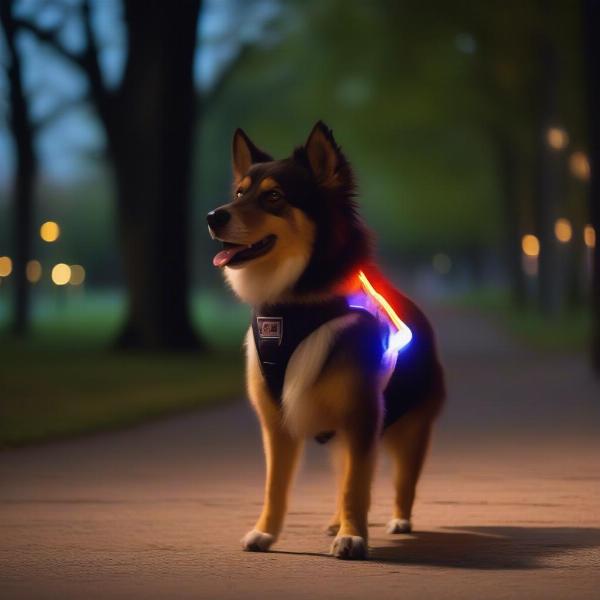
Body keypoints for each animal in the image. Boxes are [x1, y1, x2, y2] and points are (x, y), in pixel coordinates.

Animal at [207, 120, 446, 556]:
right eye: (239, 192)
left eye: (273, 196)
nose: (213, 217)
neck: (294, 303)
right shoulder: (276, 422)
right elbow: (277, 486)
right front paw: (265, 532)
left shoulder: (363, 413)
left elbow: (358, 485)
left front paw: (354, 536)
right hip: (341, 435)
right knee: (345, 474)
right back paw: (337, 521)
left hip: (410, 429)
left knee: (402, 479)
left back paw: (398, 520)